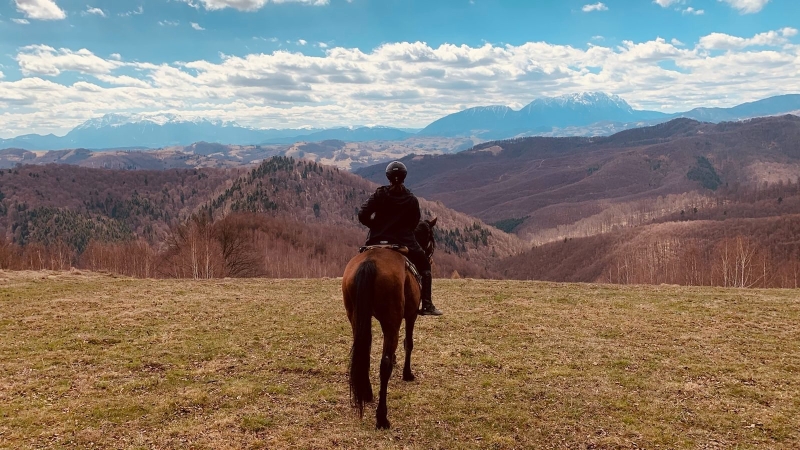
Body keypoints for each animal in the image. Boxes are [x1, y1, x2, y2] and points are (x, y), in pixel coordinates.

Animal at [340, 217, 438, 428]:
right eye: (431, 237)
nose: (430, 258)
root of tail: (370, 261)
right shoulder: (410, 315)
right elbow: (408, 343)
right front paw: (407, 374)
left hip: (356, 317)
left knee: (364, 352)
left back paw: (366, 394)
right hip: (392, 318)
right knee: (383, 365)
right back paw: (382, 417)